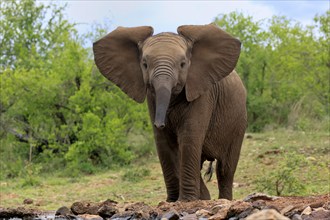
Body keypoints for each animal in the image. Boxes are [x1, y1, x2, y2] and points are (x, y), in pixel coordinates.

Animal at [93, 24, 248, 201]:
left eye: (183, 64)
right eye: (145, 64)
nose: (160, 123)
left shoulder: (202, 92)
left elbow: (189, 137)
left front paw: (186, 201)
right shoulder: (151, 98)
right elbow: (163, 142)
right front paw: (173, 201)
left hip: (238, 123)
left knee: (225, 169)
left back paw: (222, 199)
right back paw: (204, 197)